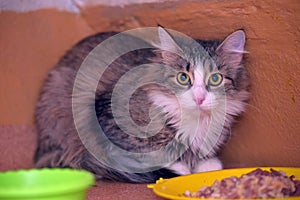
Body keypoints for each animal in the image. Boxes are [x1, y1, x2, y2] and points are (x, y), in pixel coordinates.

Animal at [34, 26, 251, 183]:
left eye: (215, 79)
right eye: (183, 77)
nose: (199, 98)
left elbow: (209, 163)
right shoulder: (108, 121)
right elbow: (156, 157)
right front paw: (181, 168)